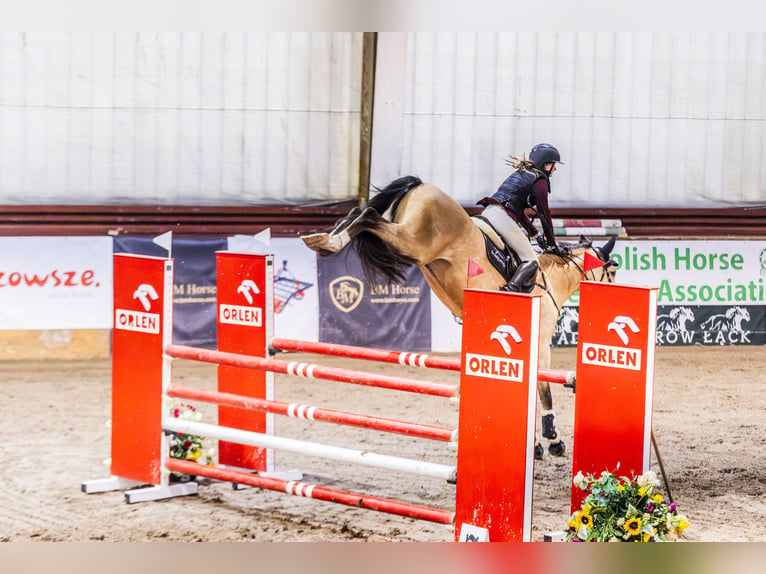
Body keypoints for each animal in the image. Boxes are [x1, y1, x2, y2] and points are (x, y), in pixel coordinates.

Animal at [300, 174, 616, 460]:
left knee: (360, 215)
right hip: (413, 242)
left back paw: (323, 239)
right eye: (612, 271)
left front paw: (533, 444)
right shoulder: (540, 343)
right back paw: (329, 241)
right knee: (368, 216)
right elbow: (543, 391)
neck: (548, 281)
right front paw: (552, 440)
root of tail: (420, 184)